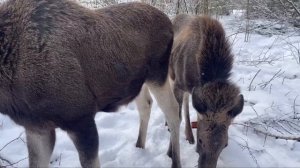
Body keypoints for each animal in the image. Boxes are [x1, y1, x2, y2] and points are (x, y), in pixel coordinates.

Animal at [0, 0, 180, 167]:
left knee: (173, 111)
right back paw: (139, 146)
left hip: (158, 73)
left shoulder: (81, 119)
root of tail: (169, 21)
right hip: (138, 82)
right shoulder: (36, 128)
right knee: (146, 104)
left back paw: (174, 159)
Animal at [170, 14, 245, 167]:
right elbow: (175, 119)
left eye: (225, 145)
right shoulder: (178, 84)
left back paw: (188, 134)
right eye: (201, 140)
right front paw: (171, 155)